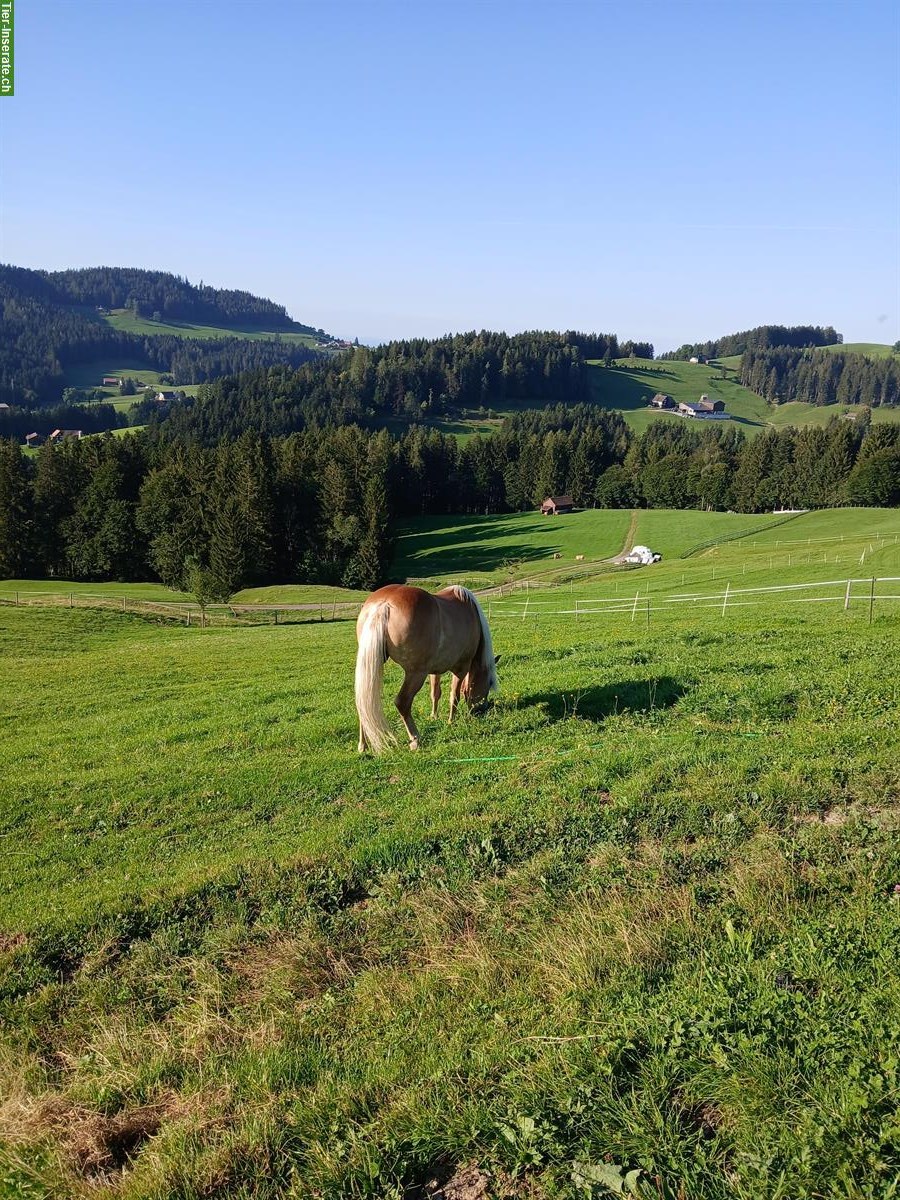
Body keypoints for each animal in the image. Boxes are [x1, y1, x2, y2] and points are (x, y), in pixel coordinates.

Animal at [355, 583, 501, 748]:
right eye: (490, 683)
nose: (482, 710)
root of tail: (384, 604)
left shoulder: (434, 670)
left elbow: (435, 693)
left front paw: (433, 716)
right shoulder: (461, 668)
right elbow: (454, 696)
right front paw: (451, 721)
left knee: (364, 705)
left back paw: (363, 745)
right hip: (416, 674)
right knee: (402, 702)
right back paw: (415, 739)